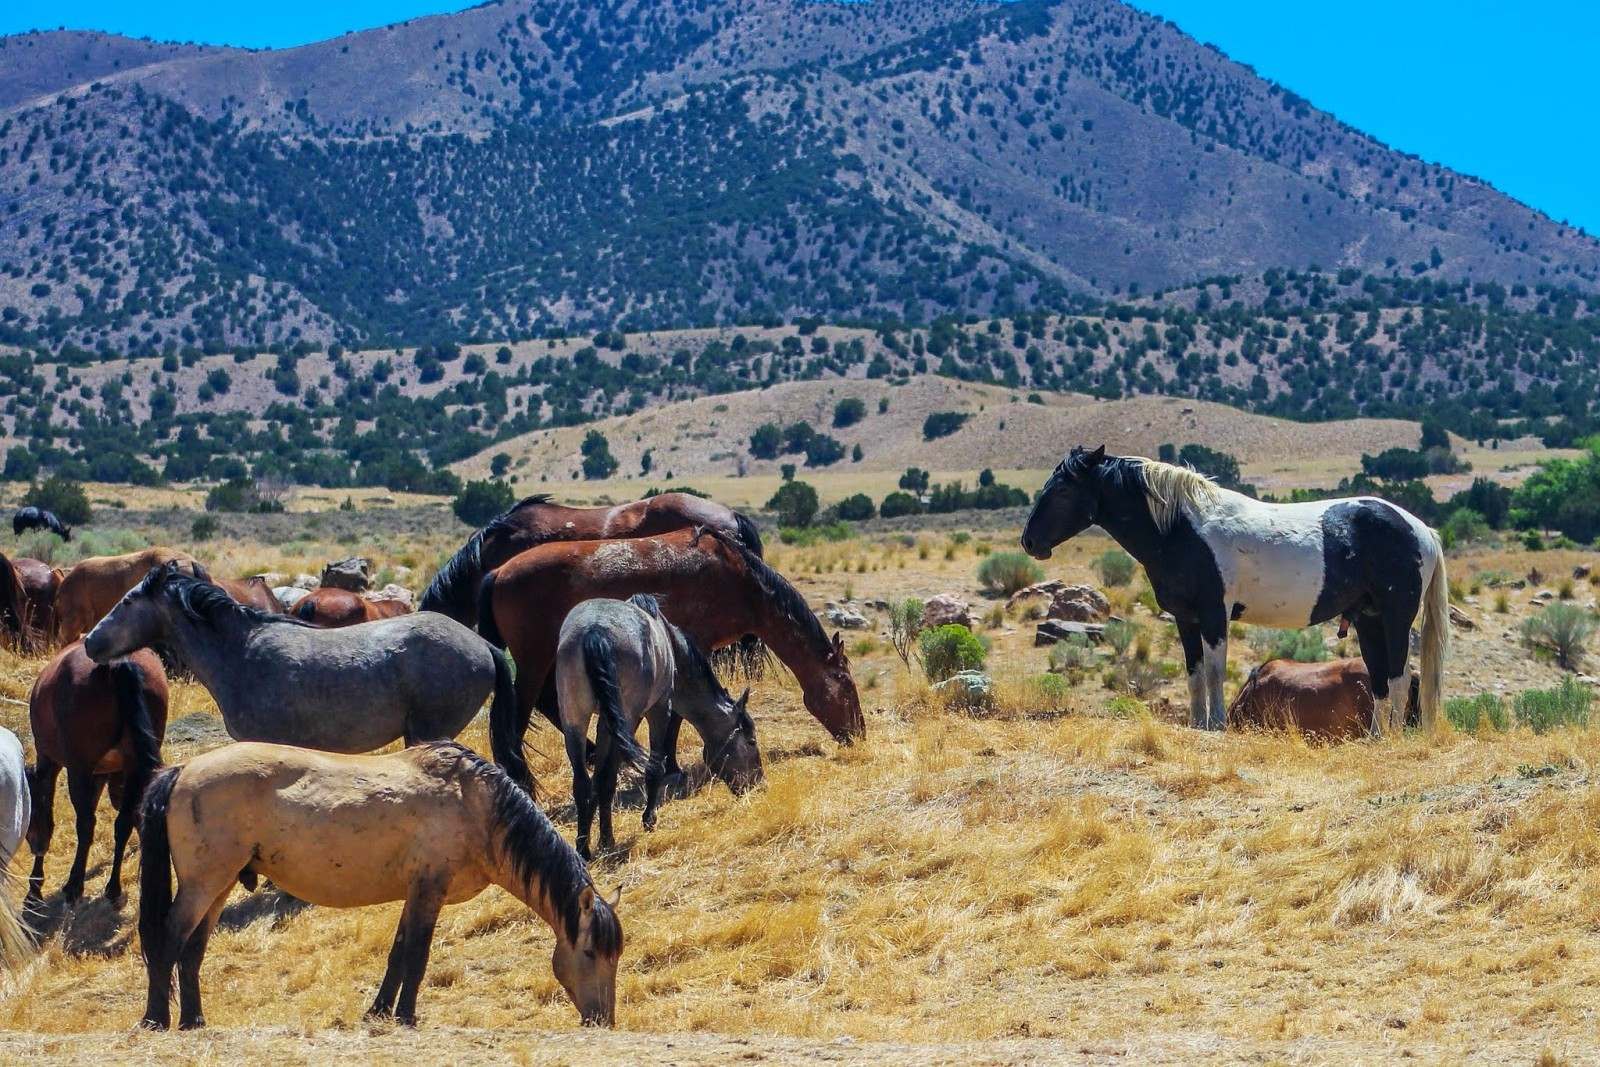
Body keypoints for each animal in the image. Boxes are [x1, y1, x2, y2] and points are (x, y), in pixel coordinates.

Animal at [25, 641, 166, 902]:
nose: (33, 845)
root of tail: (118, 662)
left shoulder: (51, 762)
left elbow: (47, 817)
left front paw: (36, 884)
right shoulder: (104, 774)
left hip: (79, 770)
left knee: (86, 824)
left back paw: (74, 885)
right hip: (133, 766)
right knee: (123, 822)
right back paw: (113, 887)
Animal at [137, 740, 621, 1030]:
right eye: (590, 952)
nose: (603, 1020)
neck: (475, 804)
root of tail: (182, 769)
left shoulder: (416, 893)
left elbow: (398, 954)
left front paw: (380, 1011)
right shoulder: (429, 890)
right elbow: (417, 957)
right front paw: (405, 1016)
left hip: (217, 886)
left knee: (192, 950)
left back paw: (194, 1021)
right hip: (203, 884)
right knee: (168, 940)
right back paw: (156, 1019)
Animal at [479, 526, 862, 786]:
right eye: (846, 685)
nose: (859, 733)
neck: (739, 581)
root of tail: (498, 572)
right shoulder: (696, 646)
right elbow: (678, 713)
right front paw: (672, 767)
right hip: (532, 665)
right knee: (515, 725)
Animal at [556, 594, 761, 859]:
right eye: (751, 741)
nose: (758, 782)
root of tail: (594, 632)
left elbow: (599, 778)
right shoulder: (660, 710)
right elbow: (654, 766)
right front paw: (648, 820)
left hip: (575, 721)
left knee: (583, 783)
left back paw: (583, 848)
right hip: (626, 720)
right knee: (609, 778)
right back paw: (607, 840)